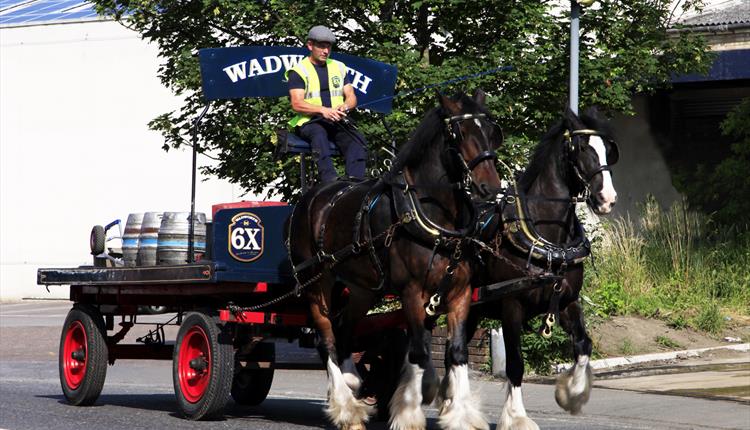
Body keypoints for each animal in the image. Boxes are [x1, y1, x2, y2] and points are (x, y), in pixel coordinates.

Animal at [290, 89, 506, 428]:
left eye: (492, 132)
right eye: (458, 134)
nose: (491, 187)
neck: (432, 213)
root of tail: (311, 196)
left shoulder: (459, 293)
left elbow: (456, 351)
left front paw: (460, 414)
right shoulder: (411, 292)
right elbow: (419, 350)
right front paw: (414, 405)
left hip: (362, 289)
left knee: (344, 328)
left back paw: (353, 381)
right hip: (316, 283)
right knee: (326, 339)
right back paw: (346, 407)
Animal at [472, 107, 620, 430]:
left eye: (608, 151)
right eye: (582, 149)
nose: (607, 199)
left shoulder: (566, 300)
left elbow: (583, 345)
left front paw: (571, 394)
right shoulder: (511, 305)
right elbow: (515, 363)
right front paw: (515, 417)